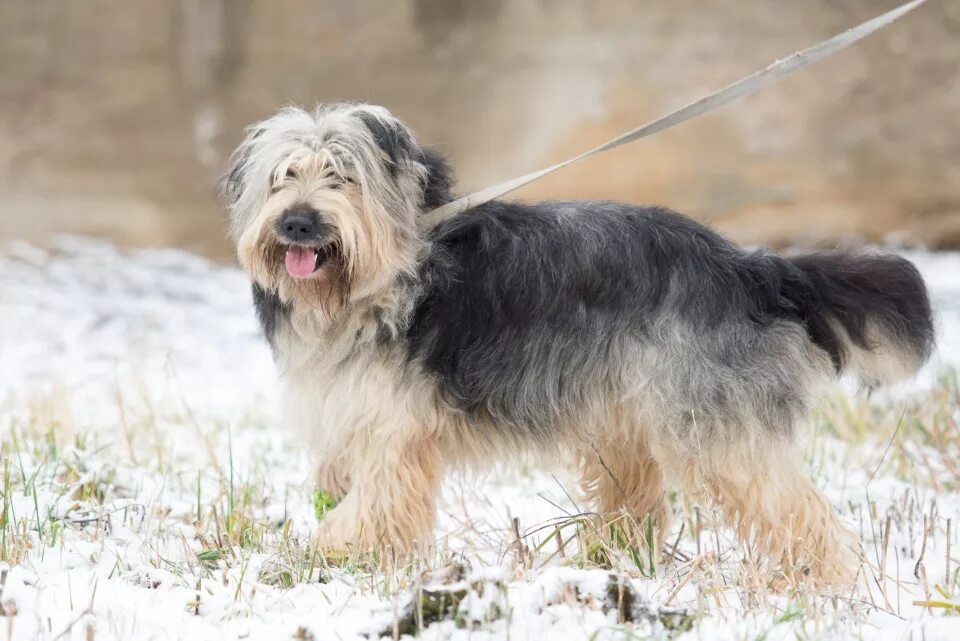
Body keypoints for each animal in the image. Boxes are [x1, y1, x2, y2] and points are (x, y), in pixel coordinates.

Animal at [221, 101, 932, 584]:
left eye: (342, 176)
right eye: (283, 176)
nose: (298, 223)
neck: (389, 268)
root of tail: (749, 268)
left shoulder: (394, 432)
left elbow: (370, 507)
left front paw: (324, 554)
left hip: (716, 425)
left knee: (791, 509)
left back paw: (825, 588)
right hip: (626, 415)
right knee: (639, 502)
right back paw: (609, 562)